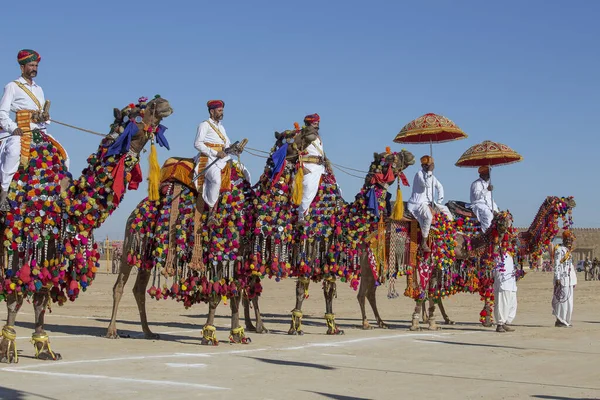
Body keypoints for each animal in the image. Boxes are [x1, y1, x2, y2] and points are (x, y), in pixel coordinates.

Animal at [0, 95, 173, 360]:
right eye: (135, 113)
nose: (162, 102)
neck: (63, 199)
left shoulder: (51, 242)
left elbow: (41, 295)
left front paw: (44, 348)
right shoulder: (21, 237)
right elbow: (14, 294)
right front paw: (8, 349)